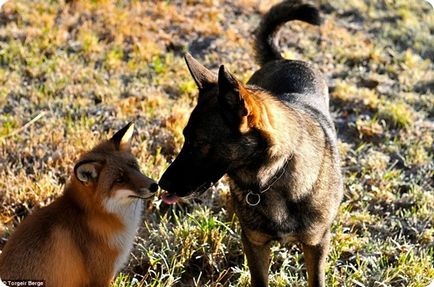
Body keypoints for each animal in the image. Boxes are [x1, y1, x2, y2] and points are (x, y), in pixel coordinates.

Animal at [159, 1, 342, 286]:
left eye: (199, 141)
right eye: (184, 137)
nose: (160, 184)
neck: (272, 176)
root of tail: (281, 59)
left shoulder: (317, 244)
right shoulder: (254, 243)